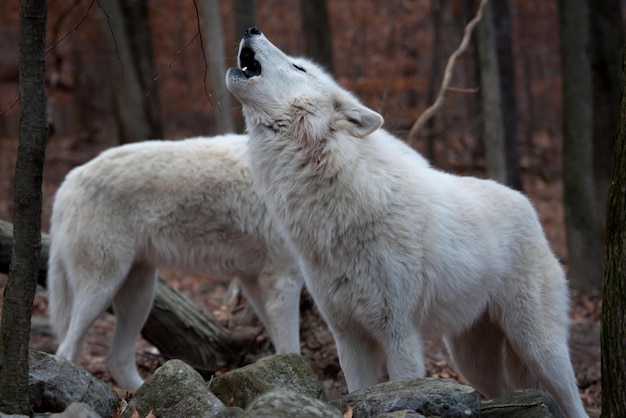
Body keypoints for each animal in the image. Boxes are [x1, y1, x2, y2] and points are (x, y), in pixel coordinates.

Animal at [47, 135, 302, 392]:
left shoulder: (255, 281)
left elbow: (280, 348)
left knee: (117, 358)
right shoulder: (284, 281)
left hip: (140, 294)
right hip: (101, 289)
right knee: (66, 349)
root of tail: (68, 182)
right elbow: (291, 350)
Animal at [224, 27, 584, 418]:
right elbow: (356, 391)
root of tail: (528, 206)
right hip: (471, 359)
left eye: (298, 67)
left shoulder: (399, 333)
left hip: (539, 349)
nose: (251, 29)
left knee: (574, 401)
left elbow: (403, 384)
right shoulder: (347, 335)